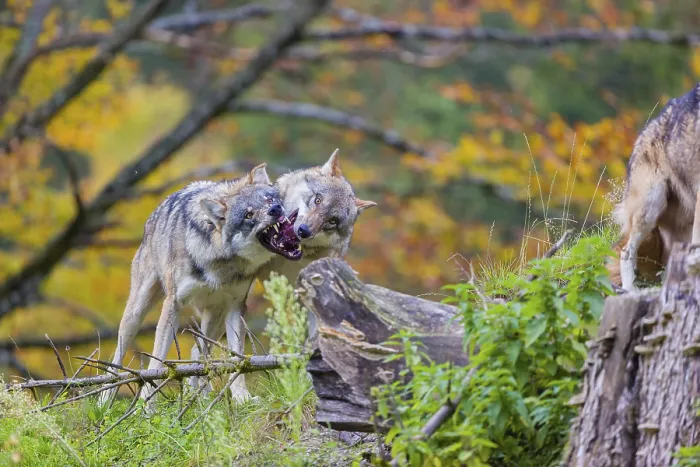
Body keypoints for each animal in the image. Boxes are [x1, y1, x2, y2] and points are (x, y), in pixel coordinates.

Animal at [99, 163, 302, 408]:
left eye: (269, 199)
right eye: (249, 215)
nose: (276, 209)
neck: (220, 261)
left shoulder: (236, 307)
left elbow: (236, 358)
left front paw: (242, 398)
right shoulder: (173, 305)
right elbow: (156, 362)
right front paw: (148, 407)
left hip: (215, 318)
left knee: (199, 351)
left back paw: (200, 397)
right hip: (137, 313)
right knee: (118, 356)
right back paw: (103, 402)